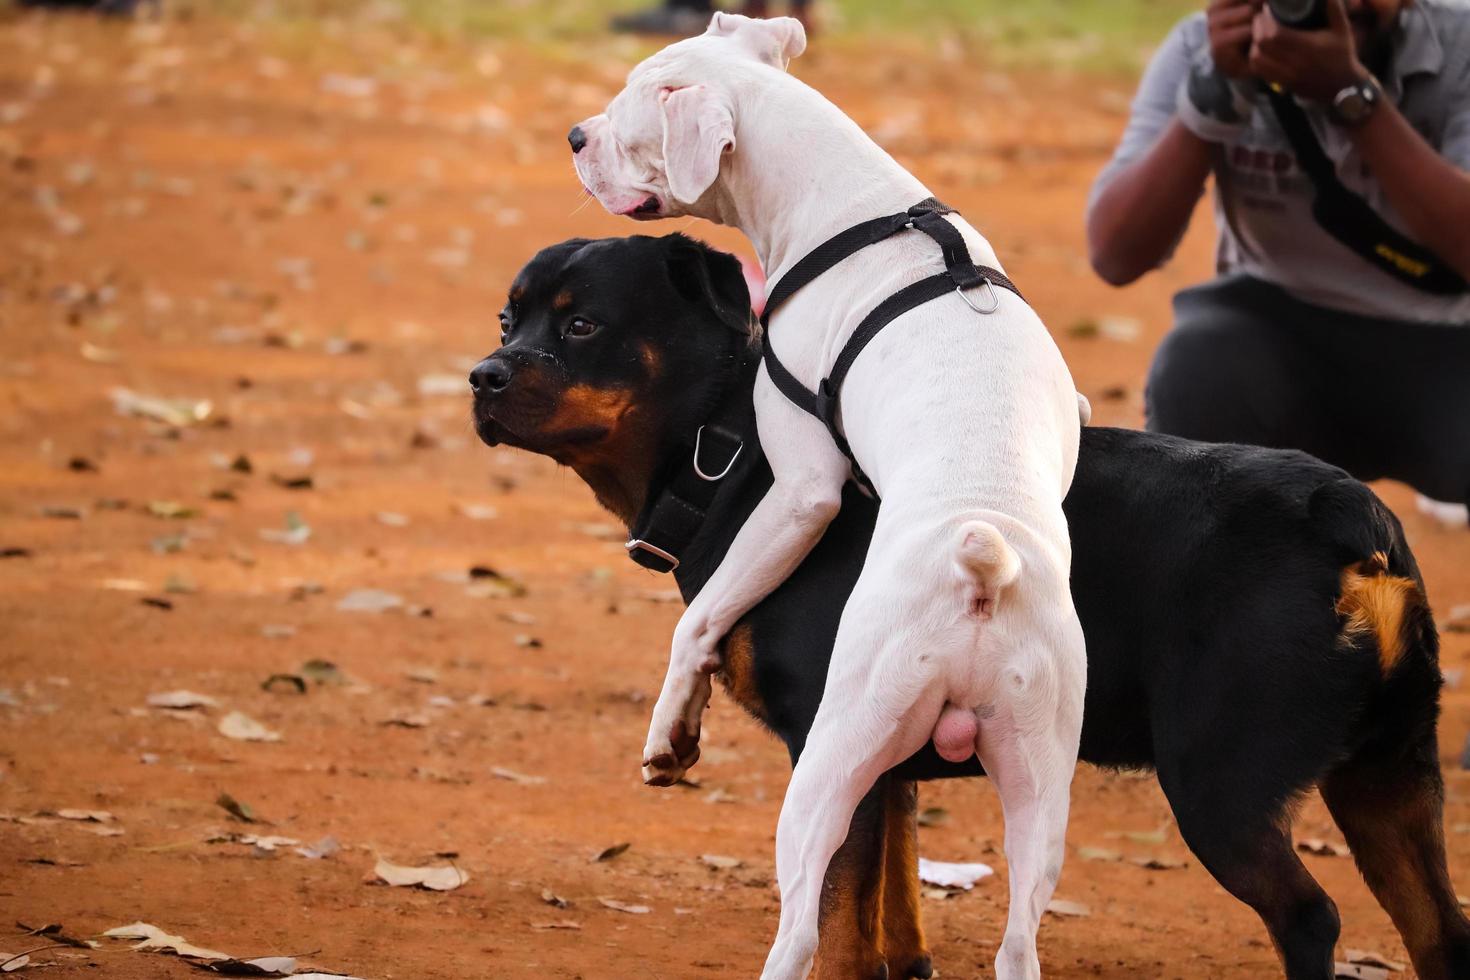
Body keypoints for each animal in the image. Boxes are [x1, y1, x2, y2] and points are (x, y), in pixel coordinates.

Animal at [470, 235, 1470, 980]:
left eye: (584, 325)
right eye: (509, 318)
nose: (482, 375)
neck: (732, 455)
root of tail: (1348, 512)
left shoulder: (830, 748)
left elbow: (841, 931)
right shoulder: (882, 759)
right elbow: (894, 908)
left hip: (1221, 784)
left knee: (1309, 917)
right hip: (1390, 776)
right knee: (1440, 931)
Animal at [567, 17, 1087, 980]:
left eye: (629, 113)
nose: (576, 136)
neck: (851, 208)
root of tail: (982, 579)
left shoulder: (801, 490)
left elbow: (697, 622)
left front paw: (670, 736)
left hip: (832, 762)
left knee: (804, 926)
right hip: (1040, 787)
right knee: (1018, 947)